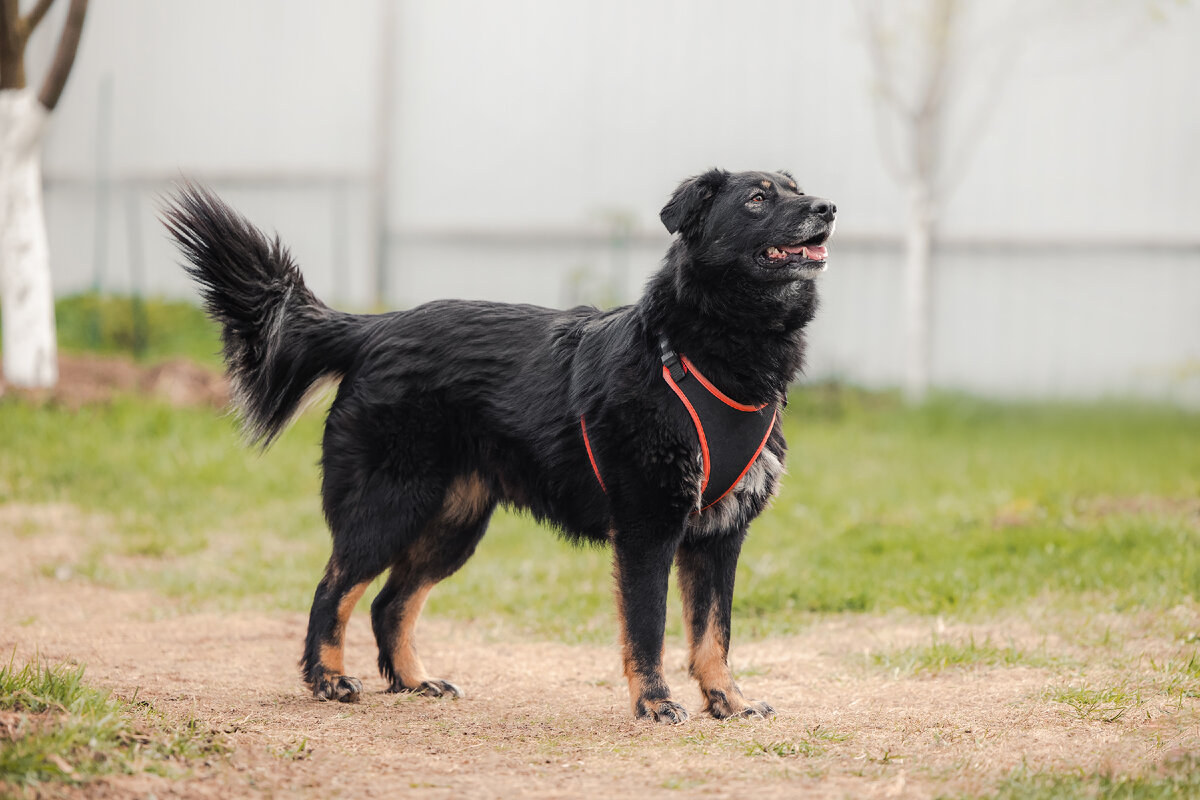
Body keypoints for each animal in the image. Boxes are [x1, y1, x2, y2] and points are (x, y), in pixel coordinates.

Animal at [162, 170, 835, 724]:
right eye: (758, 198)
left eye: (797, 187)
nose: (828, 206)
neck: (705, 349)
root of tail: (375, 328)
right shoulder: (647, 529)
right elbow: (648, 628)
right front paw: (654, 703)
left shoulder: (718, 537)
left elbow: (713, 634)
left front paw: (729, 702)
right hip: (388, 509)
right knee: (333, 591)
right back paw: (328, 680)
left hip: (452, 525)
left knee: (388, 603)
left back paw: (415, 681)